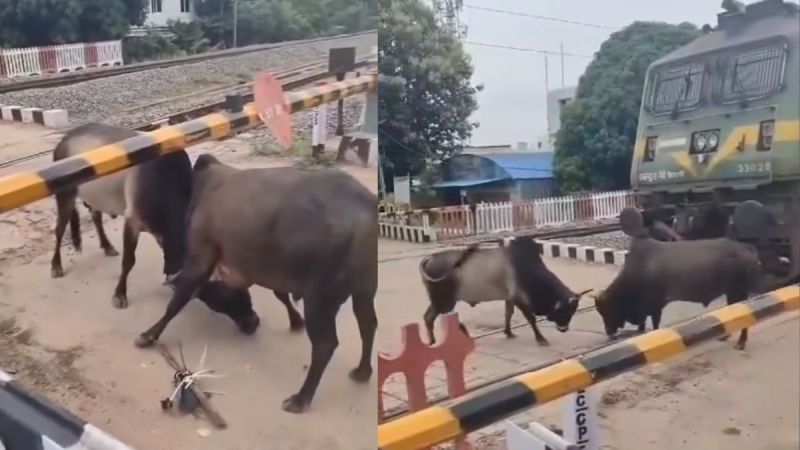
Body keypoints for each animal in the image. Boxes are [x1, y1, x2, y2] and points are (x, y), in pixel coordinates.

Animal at [134, 156, 378, 414]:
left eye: (215, 295)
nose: (251, 324)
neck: (197, 195)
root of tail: (367, 207)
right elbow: (280, 293)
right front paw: (295, 321)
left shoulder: (201, 257)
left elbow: (177, 301)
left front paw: (148, 335)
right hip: (364, 291)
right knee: (368, 325)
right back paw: (362, 372)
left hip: (320, 299)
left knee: (325, 345)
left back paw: (300, 398)